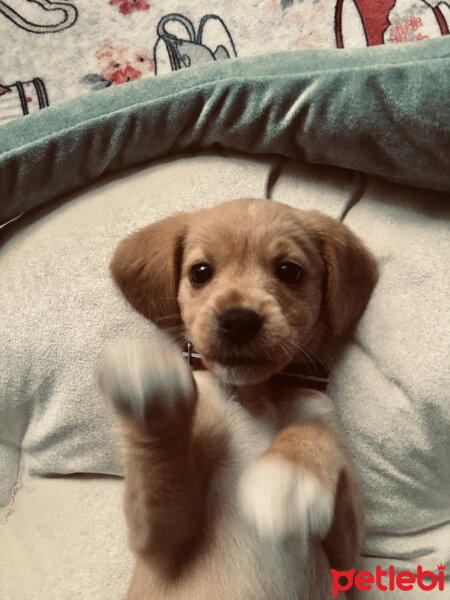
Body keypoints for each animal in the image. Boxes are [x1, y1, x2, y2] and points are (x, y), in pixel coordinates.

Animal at [98, 198, 376, 600]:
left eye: (289, 271)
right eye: (200, 272)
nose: (239, 321)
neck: (254, 395)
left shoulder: (347, 558)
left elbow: (311, 431)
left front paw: (287, 477)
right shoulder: (160, 543)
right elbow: (162, 460)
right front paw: (149, 377)